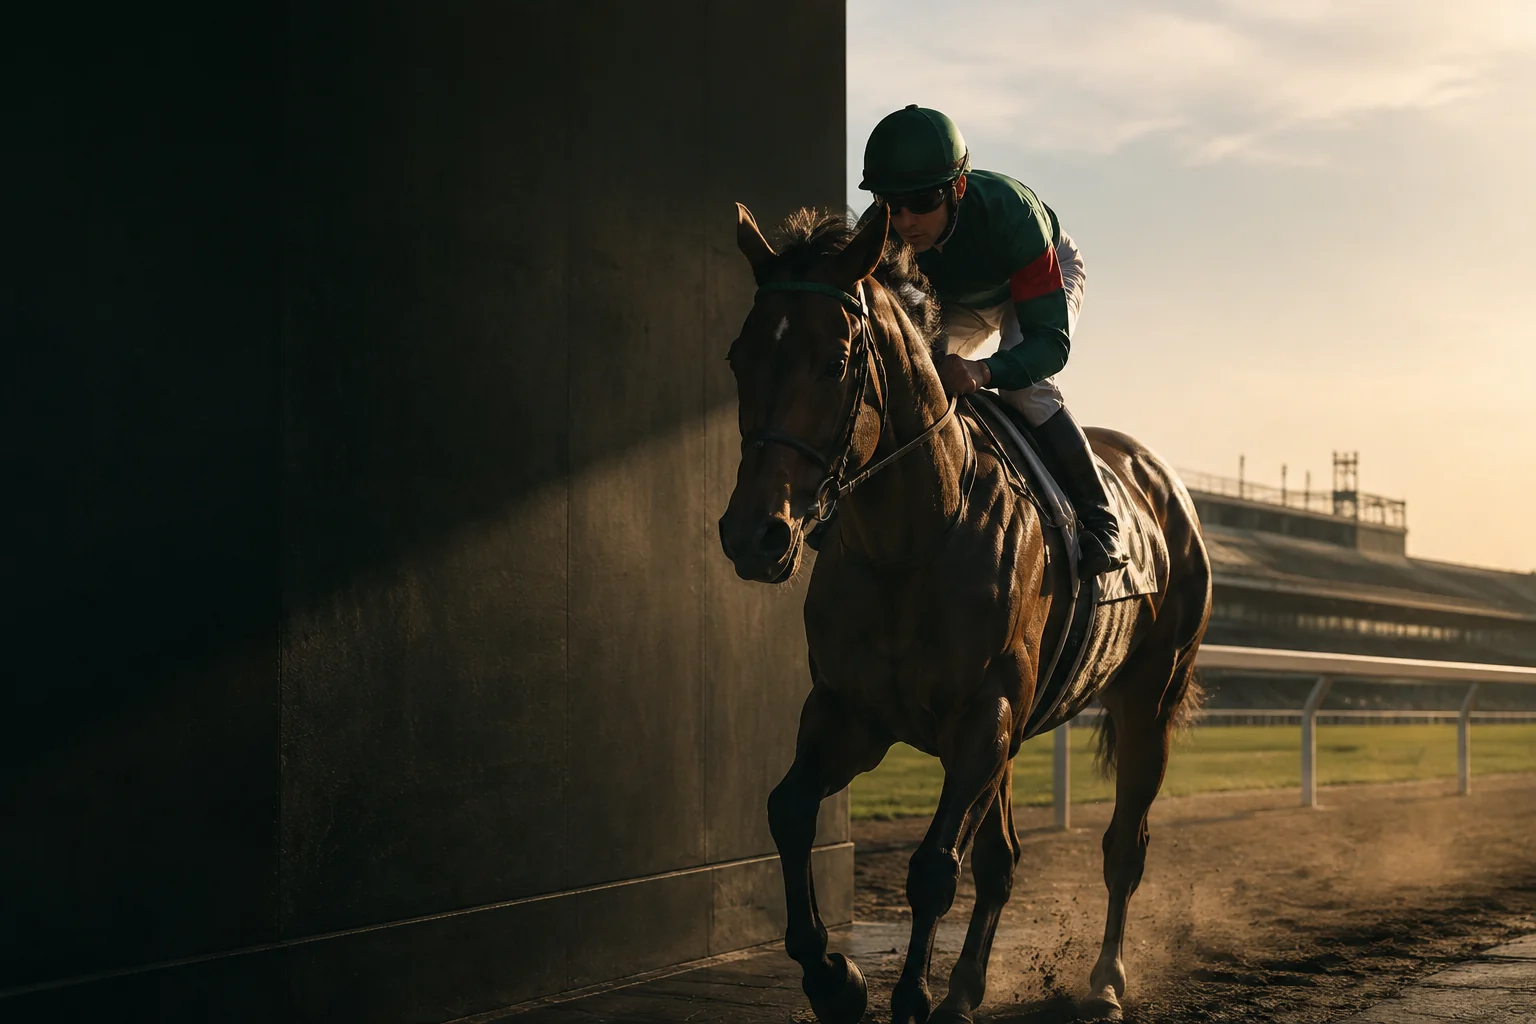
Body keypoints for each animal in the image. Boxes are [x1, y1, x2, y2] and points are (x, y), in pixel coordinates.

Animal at [717, 203, 1212, 1024]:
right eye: (738, 356)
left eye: (836, 361)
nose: (754, 534)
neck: (914, 537)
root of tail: (1159, 476)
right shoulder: (850, 712)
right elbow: (787, 810)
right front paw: (835, 977)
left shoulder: (985, 716)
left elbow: (931, 867)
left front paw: (910, 993)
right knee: (1001, 859)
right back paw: (966, 989)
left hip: (1148, 699)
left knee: (1124, 847)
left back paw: (1104, 981)